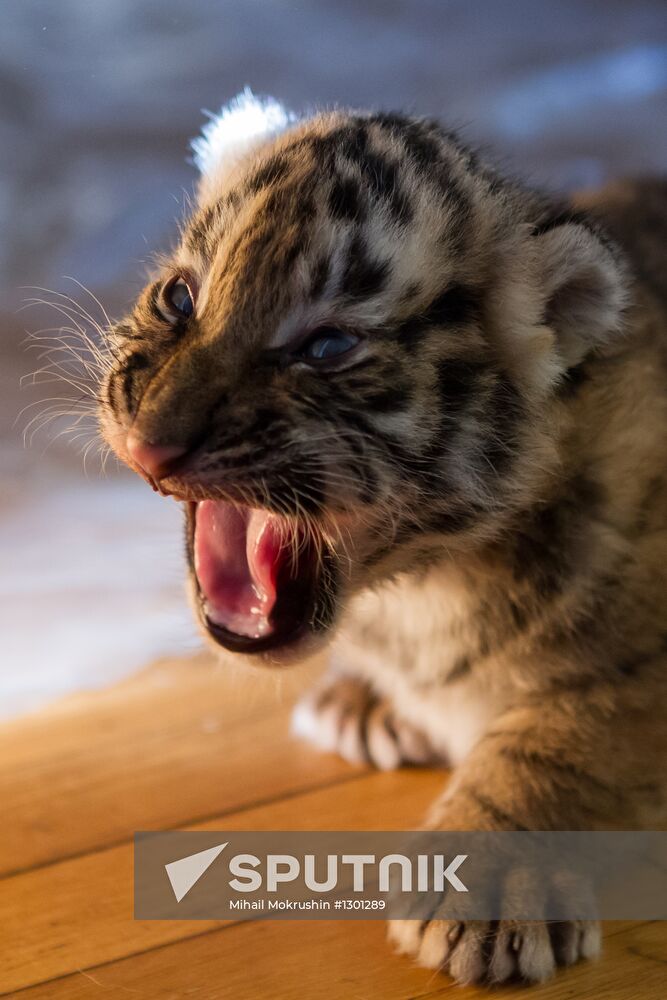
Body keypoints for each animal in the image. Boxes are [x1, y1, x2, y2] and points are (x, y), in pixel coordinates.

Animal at [97, 93, 667, 985]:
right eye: (181, 298)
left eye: (327, 345)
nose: (152, 445)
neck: (432, 579)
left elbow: (567, 735)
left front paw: (489, 889)